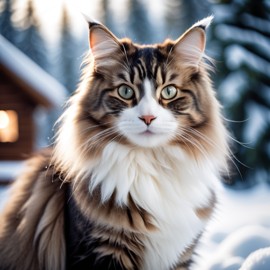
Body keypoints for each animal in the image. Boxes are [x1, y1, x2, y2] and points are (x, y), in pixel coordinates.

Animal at [0, 16, 228, 270]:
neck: (150, 167)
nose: (148, 117)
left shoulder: (181, 255)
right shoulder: (99, 249)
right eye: (125, 91)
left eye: (169, 91)